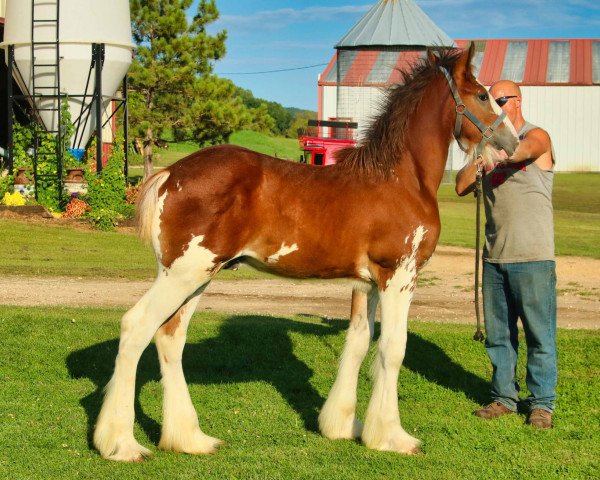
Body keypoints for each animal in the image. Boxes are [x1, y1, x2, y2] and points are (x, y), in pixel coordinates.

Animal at [92, 46, 516, 462]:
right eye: (483, 95)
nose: (511, 141)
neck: (399, 178)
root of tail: (169, 175)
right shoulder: (399, 276)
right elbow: (393, 349)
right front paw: (393, 437)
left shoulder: (367, 284)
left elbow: (359, 341)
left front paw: (343, 427)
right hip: (182, 275)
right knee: (136, 327)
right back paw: (121, 444)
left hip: (196, 278)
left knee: (169, 337)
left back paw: (189, 438)